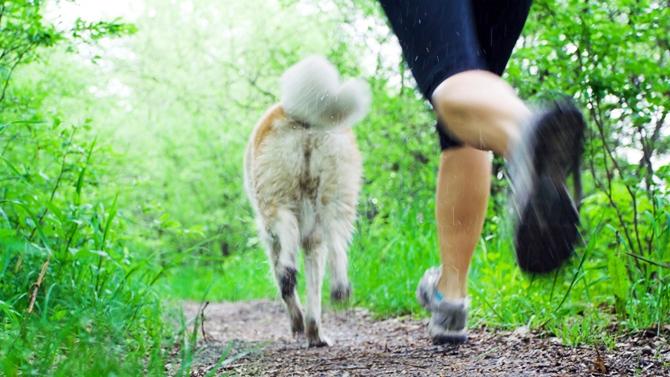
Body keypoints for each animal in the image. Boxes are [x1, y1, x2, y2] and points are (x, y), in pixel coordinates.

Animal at [245, 56, 372, 346]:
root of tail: (305, 118)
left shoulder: (271, 240)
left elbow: (287, 291)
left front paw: (298, 324)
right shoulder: (314, 242)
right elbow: (314, 291)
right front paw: (314, 333)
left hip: (276, 198)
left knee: (286, 237)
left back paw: (289, 273)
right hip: (339, 193)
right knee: (336, 244)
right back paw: (340, 289)